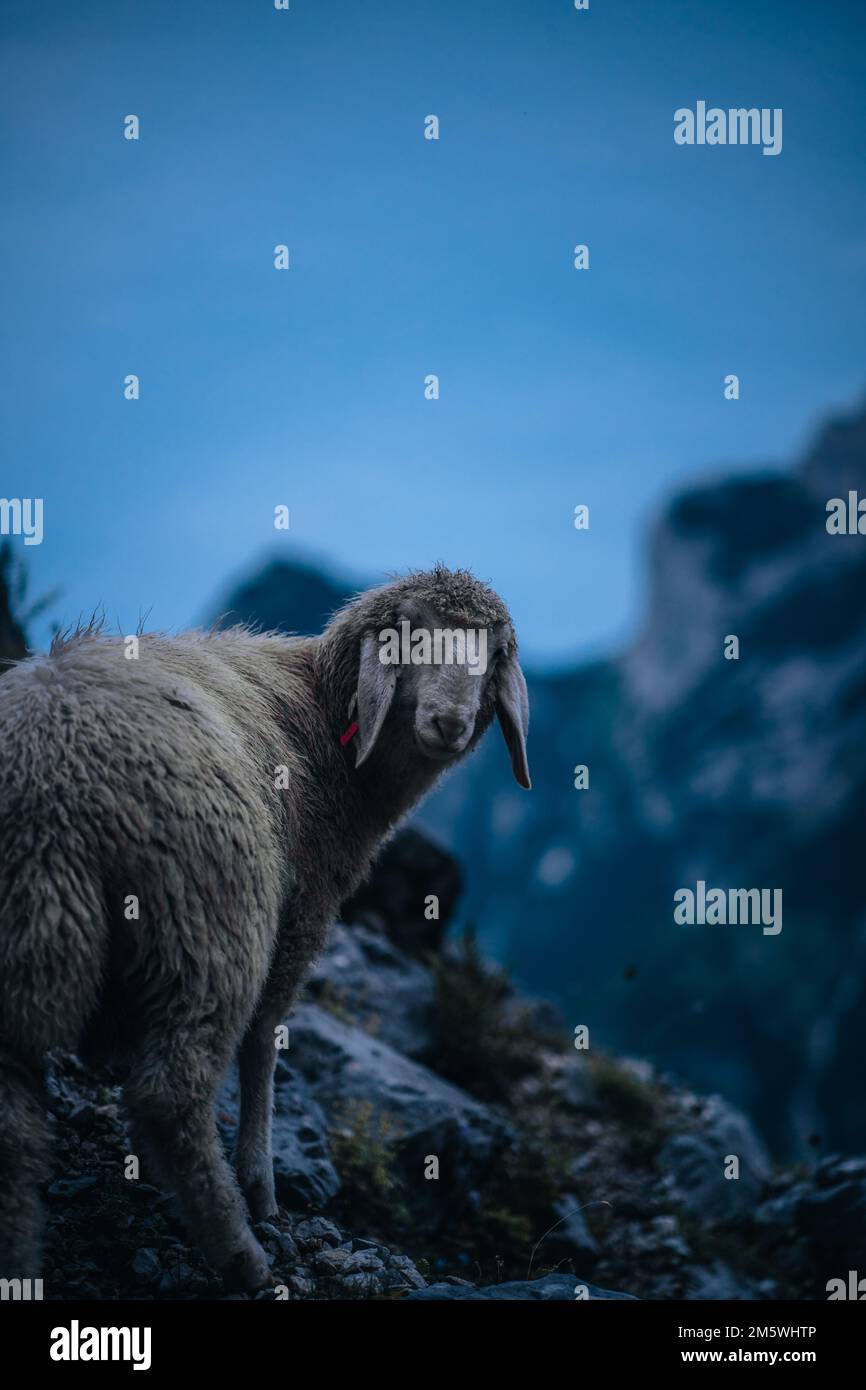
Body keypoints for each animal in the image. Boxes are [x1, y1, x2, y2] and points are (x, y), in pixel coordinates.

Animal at [0, 564, 530, 1290]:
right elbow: (264, 1043)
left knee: (17, 1123)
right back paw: (241, 1252)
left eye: (494, 651)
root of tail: (49, 780)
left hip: (32, 933)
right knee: (171, 1096)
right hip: (210, 921)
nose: (449, 722)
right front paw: (259, 1180)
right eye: (409, 634)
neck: (327, 718)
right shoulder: (303, 913)